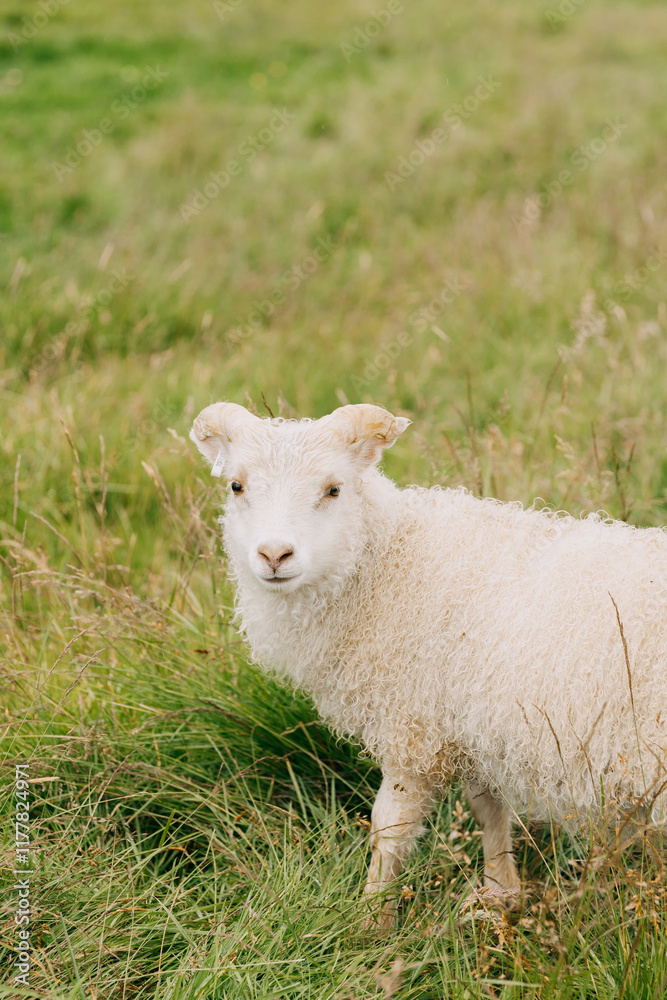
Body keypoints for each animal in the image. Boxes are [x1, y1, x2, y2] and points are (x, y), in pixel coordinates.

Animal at [190, 400, 667, 927]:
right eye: (236, 486)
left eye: (333, 489)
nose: (274, 554)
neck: (388, 562)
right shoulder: (466, 723)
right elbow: (489, 809)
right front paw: (500, 894)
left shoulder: (413, 730)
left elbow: (389, 828)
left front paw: (371, 922)